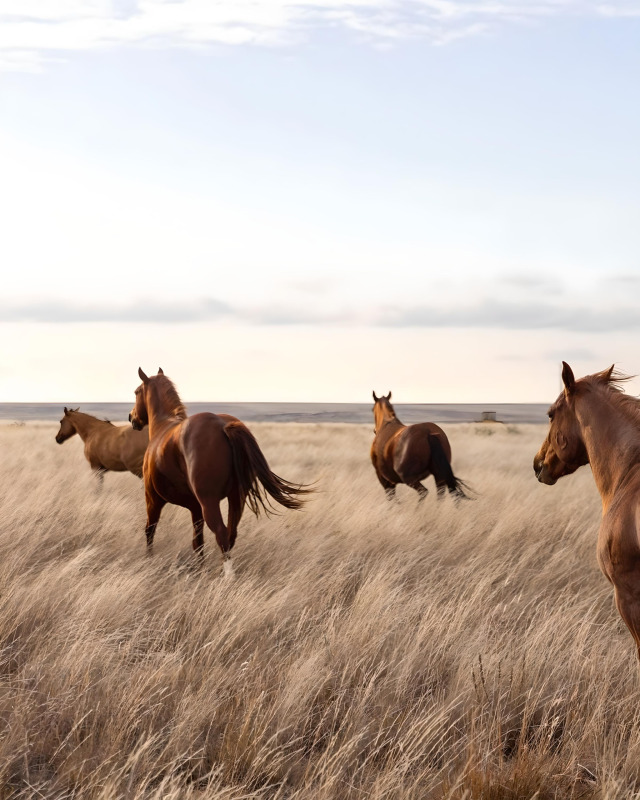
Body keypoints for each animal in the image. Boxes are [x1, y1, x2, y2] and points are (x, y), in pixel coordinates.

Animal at [129, 368, 311, 574]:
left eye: (136, 392)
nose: (131, 417)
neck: (163, 426)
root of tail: (223, 425)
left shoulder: (153, 498)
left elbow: (150, 530)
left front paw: (149, 559)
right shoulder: (195, 507)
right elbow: (197, 541)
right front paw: (200, 568)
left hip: (209, 502)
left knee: (222, 533)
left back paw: (228, 576)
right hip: (236, 497)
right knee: (231, 533)